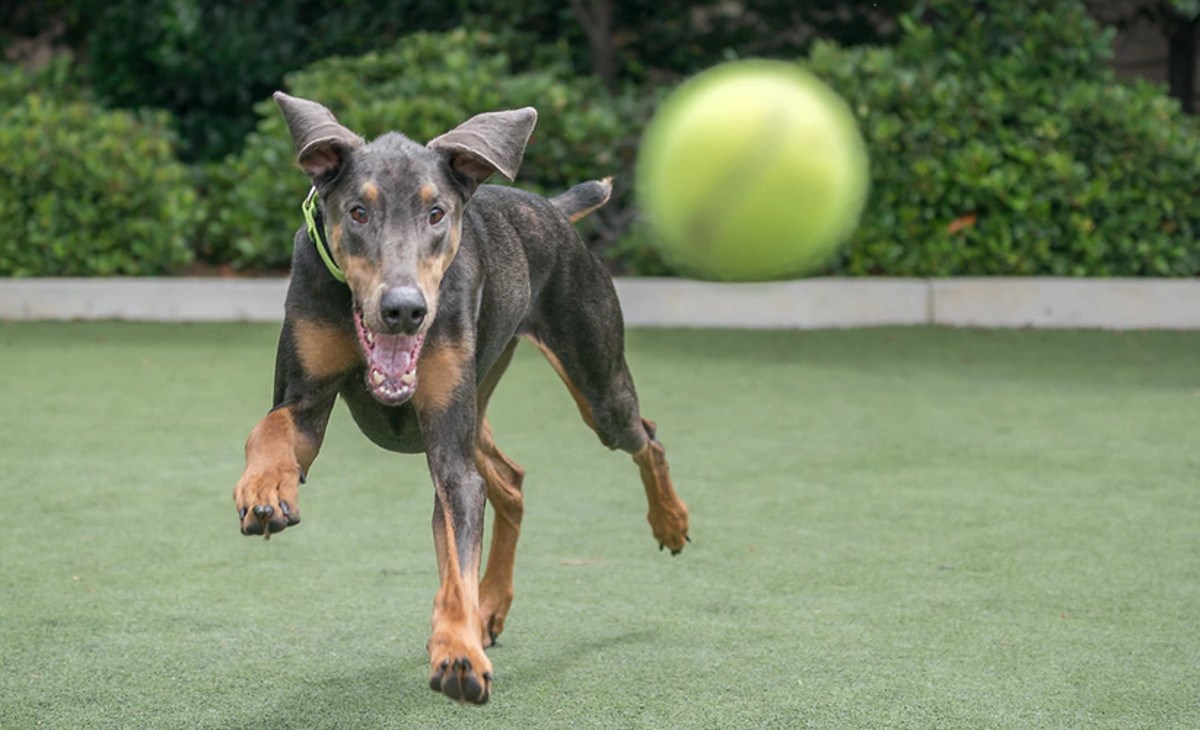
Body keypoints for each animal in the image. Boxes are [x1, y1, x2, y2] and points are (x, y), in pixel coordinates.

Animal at [230, 94, 691, 705]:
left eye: (436, 213)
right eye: (357, 212)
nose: (404, 309)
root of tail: (549, 208)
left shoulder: (448, 453)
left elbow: (455, 555)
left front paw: (456, 651)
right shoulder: (305, 397)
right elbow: (273, 428)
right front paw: (265, 489)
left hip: (595, 387)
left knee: (644, 436)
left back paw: (669, 521)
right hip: (483, 400)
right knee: (511, 480)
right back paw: (492, 605)